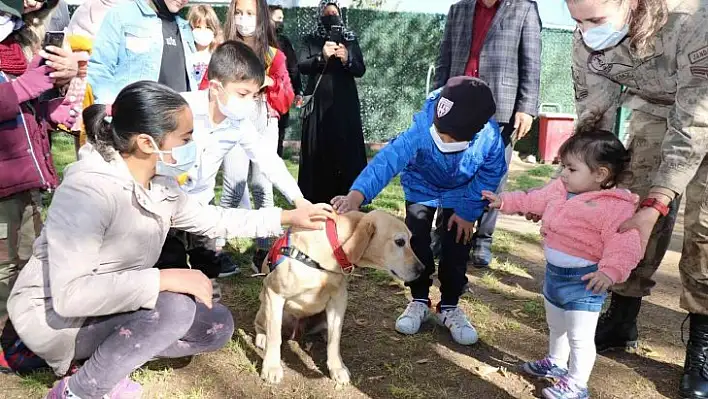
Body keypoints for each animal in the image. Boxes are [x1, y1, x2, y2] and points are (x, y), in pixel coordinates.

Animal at [254, 211, 424, 386]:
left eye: (410, 240)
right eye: (400, 242)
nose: (422, 269)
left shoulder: (339, 301)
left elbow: (334, 340)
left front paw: (337, 367)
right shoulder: (274, 293)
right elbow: (274, 336)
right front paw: (271, 367)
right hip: (268, 307)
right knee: (261, 324)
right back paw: (262, 337)